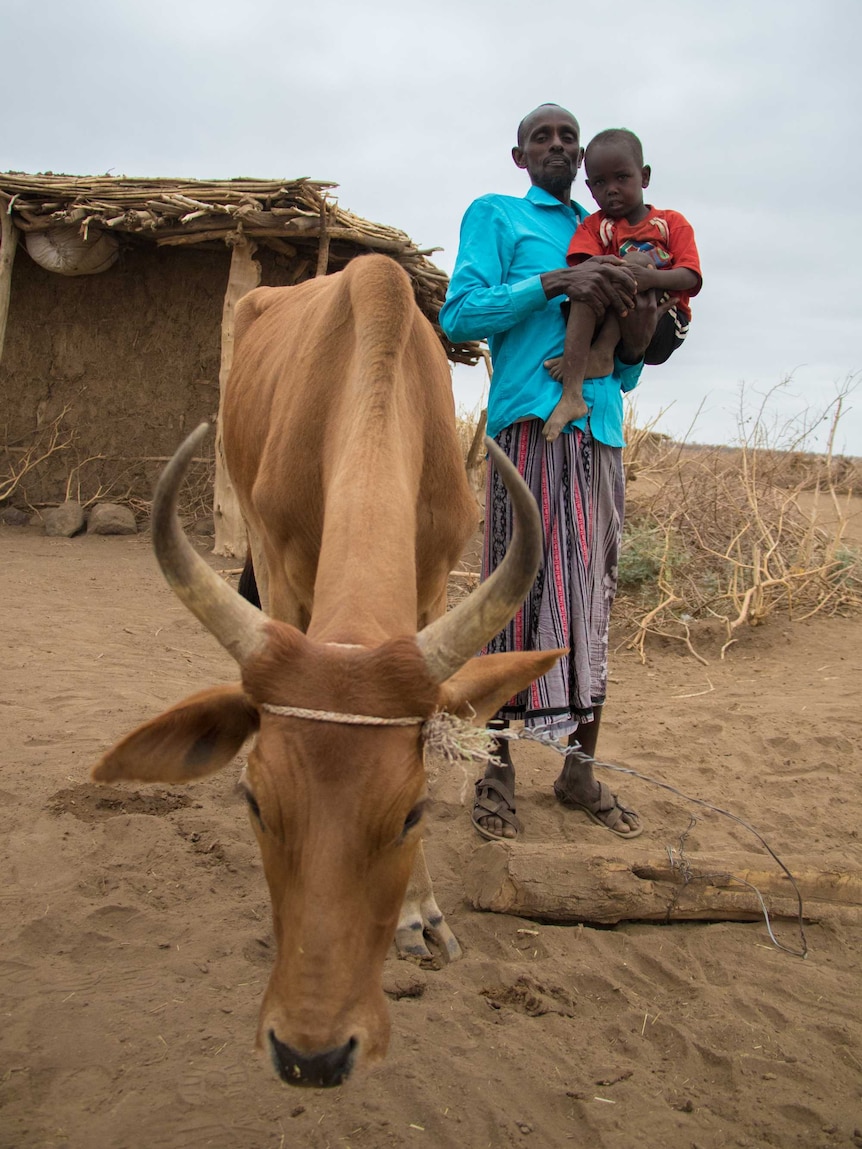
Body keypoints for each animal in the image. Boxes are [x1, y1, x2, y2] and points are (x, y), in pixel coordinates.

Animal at [94, 256, 563, 1089]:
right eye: (255, 800)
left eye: (411, 811)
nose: (310, 1054)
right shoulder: (281, 570)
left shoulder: (433, 583)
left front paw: (420, 914)